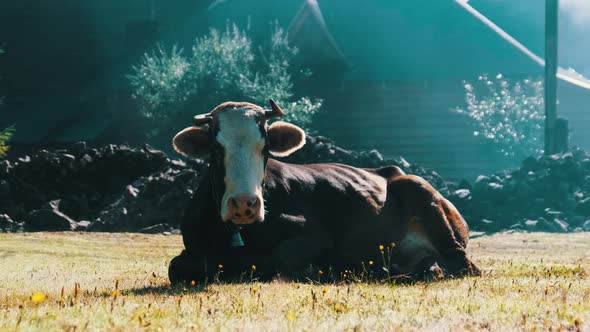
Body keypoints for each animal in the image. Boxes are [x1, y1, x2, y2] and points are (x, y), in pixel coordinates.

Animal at [169, 100, 484, 284]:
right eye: (215, 150)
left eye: (265, 148)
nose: (245, 204)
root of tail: (392, 171)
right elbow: (176, 267)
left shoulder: (316, 234)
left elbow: (280, 259)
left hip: (423, 195)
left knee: (464, 266)